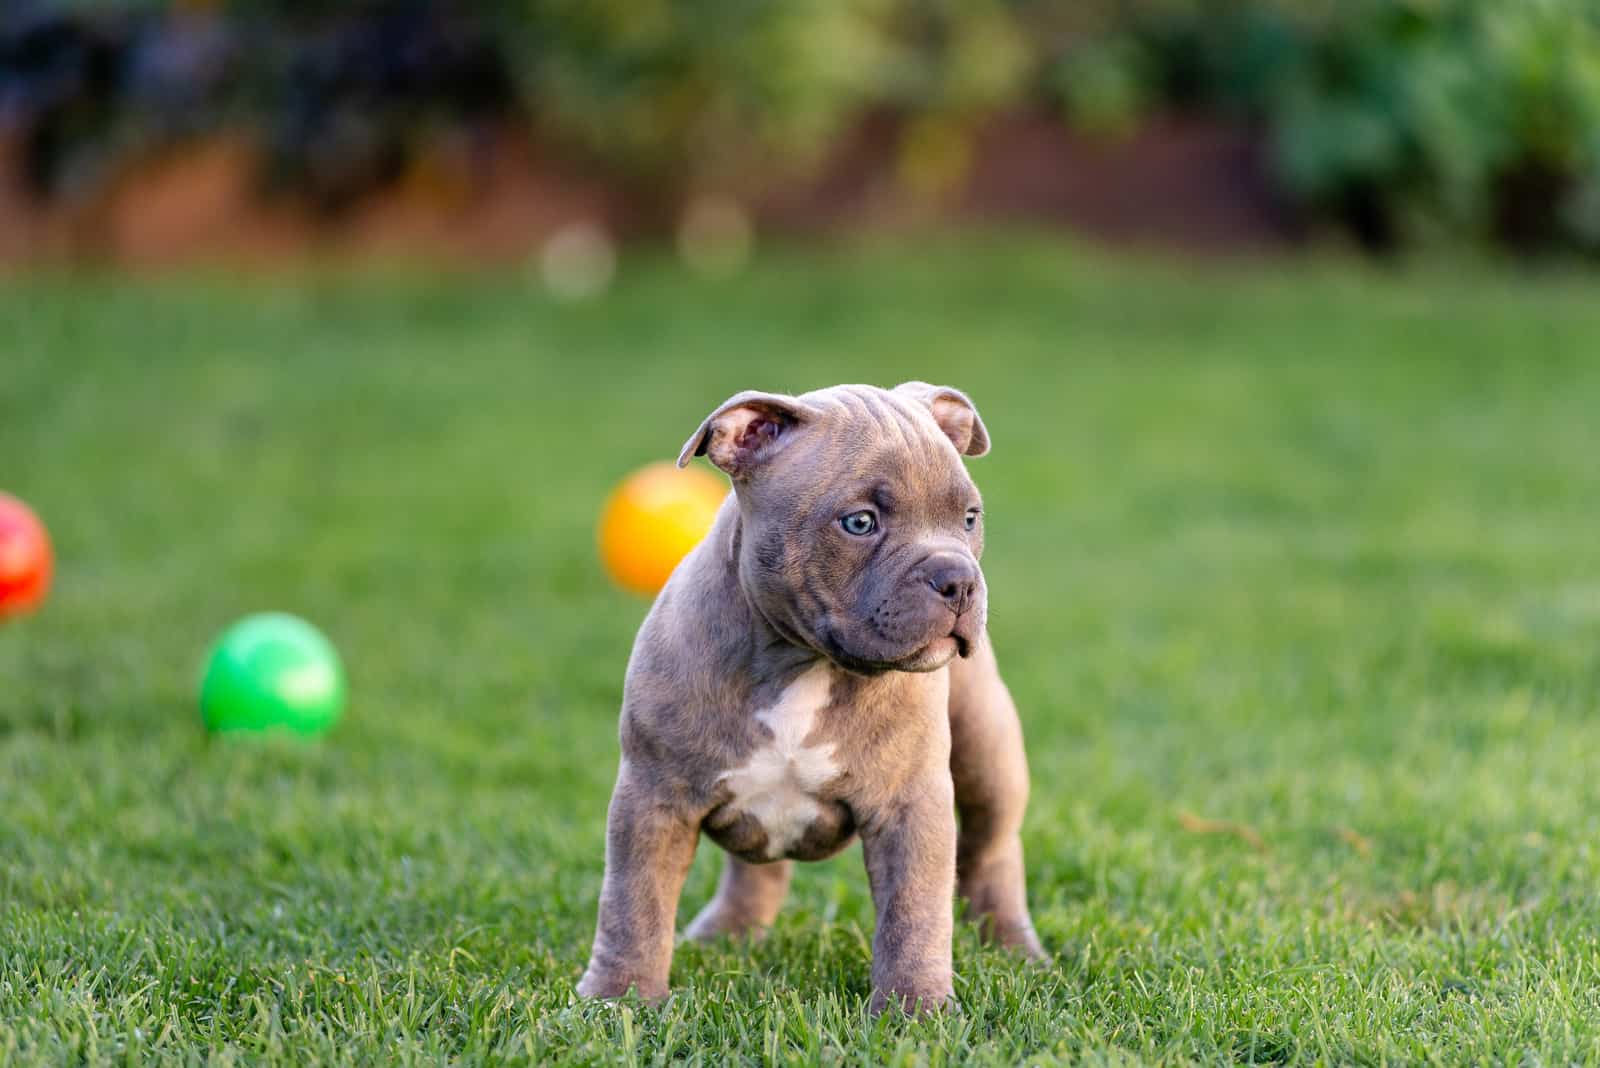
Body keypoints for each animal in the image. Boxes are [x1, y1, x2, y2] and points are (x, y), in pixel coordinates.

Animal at [582, 382, 1043, 1010]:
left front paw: (915, 1009)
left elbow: (914, 914)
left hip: (987, 749)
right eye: (860, 522)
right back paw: (727, 935)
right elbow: (633, 904)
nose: (958, 580)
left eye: (969, 518)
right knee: (758, 869)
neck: (802, 661)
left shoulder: (911, 806)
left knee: (993, 849)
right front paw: (618, 998)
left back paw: (1016, 950)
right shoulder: (653, 798)